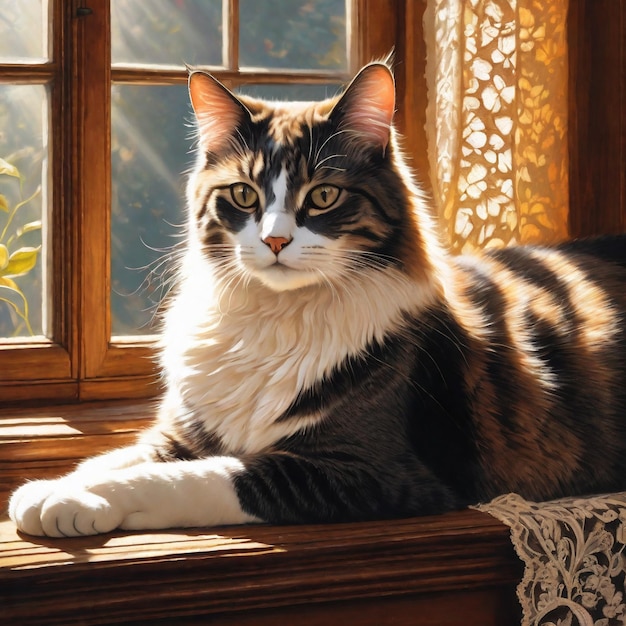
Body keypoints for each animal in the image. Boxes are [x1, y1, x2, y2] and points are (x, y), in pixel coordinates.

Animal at [7, 61, 624, 532]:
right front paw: (49, 489)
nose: (276, 240)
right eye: (244, 195)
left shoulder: (364, 469)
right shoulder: (180, 432)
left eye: (323, 195)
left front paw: (72, 501)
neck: (272, 319)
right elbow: (111, 458)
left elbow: (188, 477)